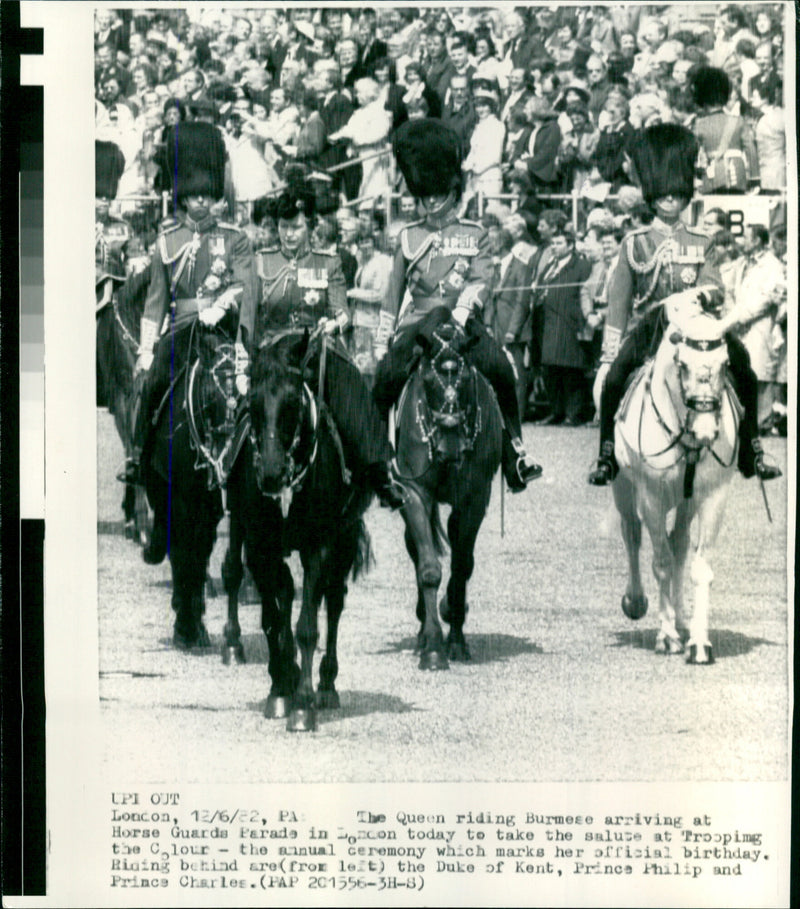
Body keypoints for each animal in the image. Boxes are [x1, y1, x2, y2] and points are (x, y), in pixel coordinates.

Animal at [222, 334, 372, 732]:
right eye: (253, 401)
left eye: (293, 401)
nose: (272, 473)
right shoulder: (260, 546)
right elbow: (273, 620)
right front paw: (279, 688)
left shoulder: (318, 546)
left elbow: (307, 625)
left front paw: (303, 704)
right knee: (286, 592)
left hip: (344, 539)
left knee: (332, 602)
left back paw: (326, 684)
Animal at [616, 308, 740, 664]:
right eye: (682, 364)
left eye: (726, 363)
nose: (706, 431)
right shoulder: (651, 498)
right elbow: (660, 563)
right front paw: (667, 636)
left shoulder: (713, 498)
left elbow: (698, 567)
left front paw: (698, 641)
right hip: (623, 489)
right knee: (632, 534)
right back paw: (636, 601)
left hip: (687, 502)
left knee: (680, 542)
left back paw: (682, 617)